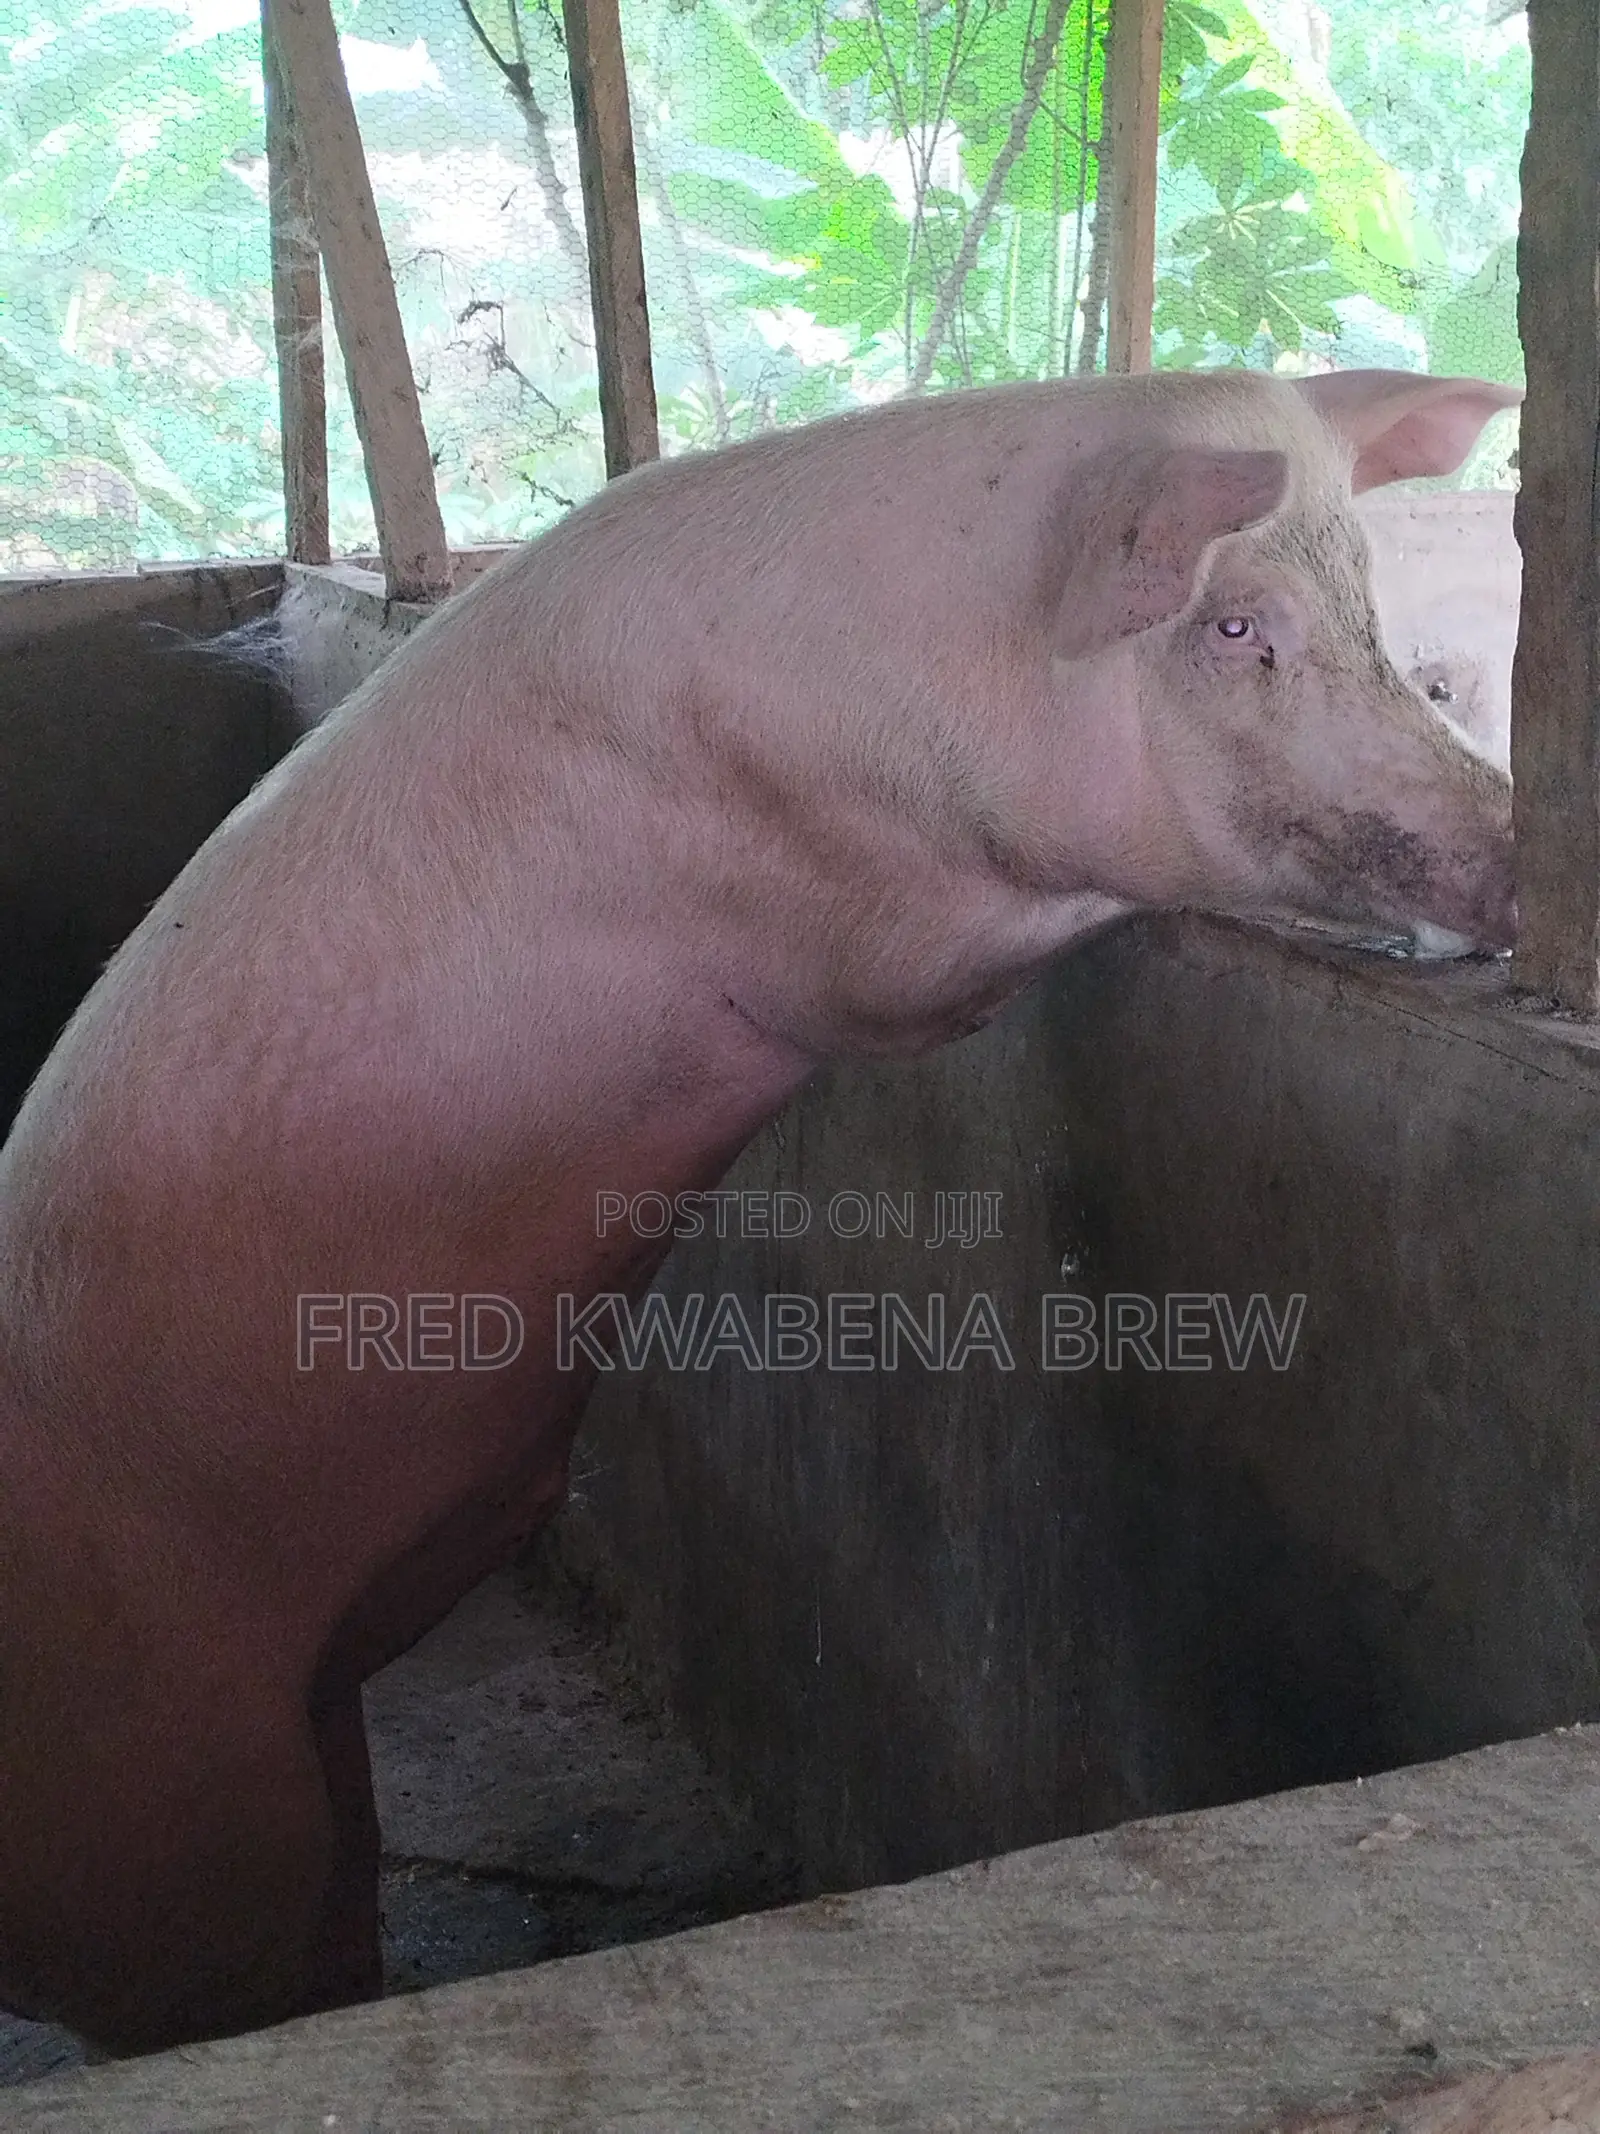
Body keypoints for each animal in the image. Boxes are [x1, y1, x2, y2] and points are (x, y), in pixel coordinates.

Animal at [0, 366, 1518, 2054]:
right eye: (1240, 624)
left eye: (1376, 608)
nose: (1519, 847)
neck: (935, 665)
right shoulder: (860, 930)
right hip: (181, 1797)